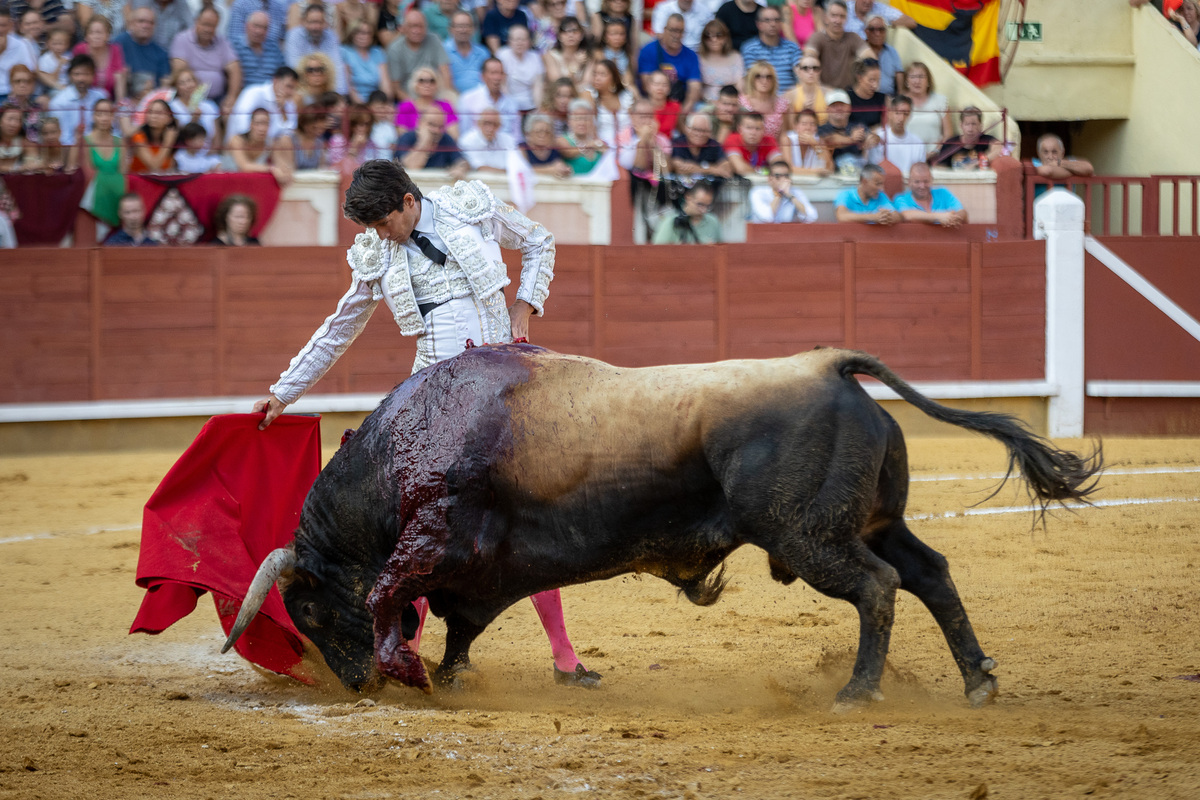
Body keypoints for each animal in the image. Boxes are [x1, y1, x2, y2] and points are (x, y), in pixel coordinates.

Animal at [220, 347, 1099, 710]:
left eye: (308, 608)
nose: (355, 686)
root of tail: (828, 366)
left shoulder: (431, 544)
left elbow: (391, 600)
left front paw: (411, 671)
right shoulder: (480, 571)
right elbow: (459, 622)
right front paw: (450, 674)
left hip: (808, 536)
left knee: (878, 589)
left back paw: (857, 691)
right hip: (875, 522)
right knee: (930, 573)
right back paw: (978, 680)